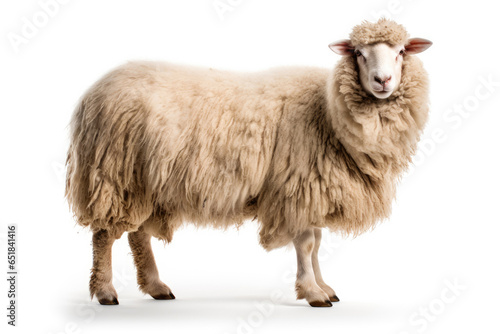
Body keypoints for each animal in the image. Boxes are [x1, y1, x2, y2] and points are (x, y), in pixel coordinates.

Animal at [66, 18, 432, 308]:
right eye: (358, 53)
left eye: (401, 51)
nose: (382, 80)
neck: (327, 110)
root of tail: (90, 94)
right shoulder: (296, 186)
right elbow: (306, 243)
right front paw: (313, 292)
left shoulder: (310, 189)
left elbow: (316, 244)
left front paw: (324, 287)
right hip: (114, 175)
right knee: (104, 235)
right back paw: (105, 291)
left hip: (143, 182)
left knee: (137, 234)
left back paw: (156, 287)